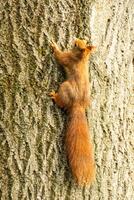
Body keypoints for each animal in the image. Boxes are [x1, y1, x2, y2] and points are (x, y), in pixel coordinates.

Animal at [49, 38, 96, 185]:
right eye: (83, 40)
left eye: (76, 45)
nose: (75, 39)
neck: (81, 58)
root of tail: (78, 105)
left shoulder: (67, 58)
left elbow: (59, 57)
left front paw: (54, 46)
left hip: (64, 87)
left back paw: (54, 96)